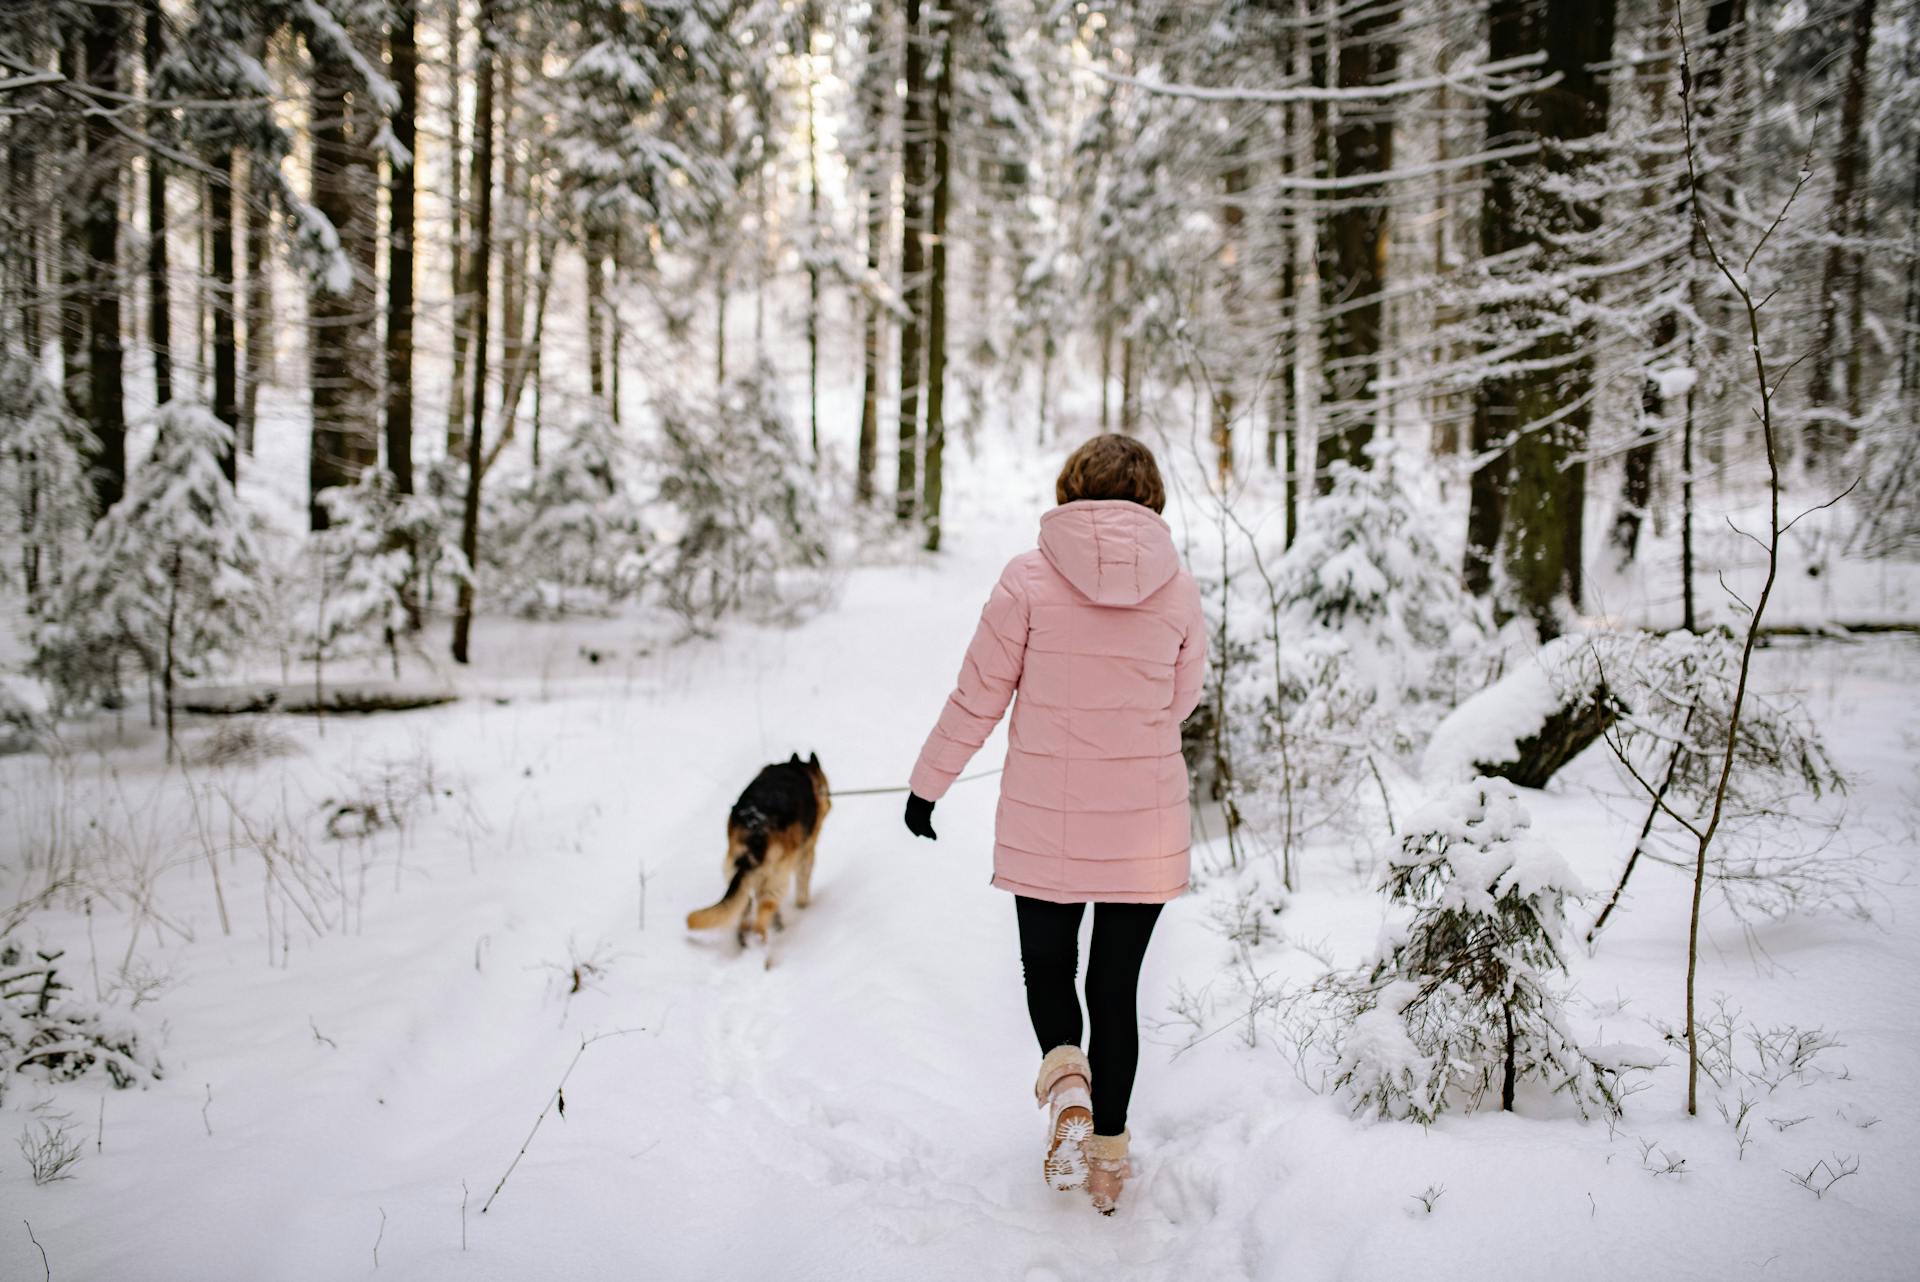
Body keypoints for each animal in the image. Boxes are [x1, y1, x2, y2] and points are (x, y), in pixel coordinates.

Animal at [687, 756, 829, 948]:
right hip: (776, 880)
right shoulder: (806, 853)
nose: (828, 801)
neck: (798, 768)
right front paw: (803, 906)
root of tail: (755, 832)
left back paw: (745, 939)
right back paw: (761, 941)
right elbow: (803, 885)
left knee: (744, 908)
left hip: (736, 871)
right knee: (762, 915)